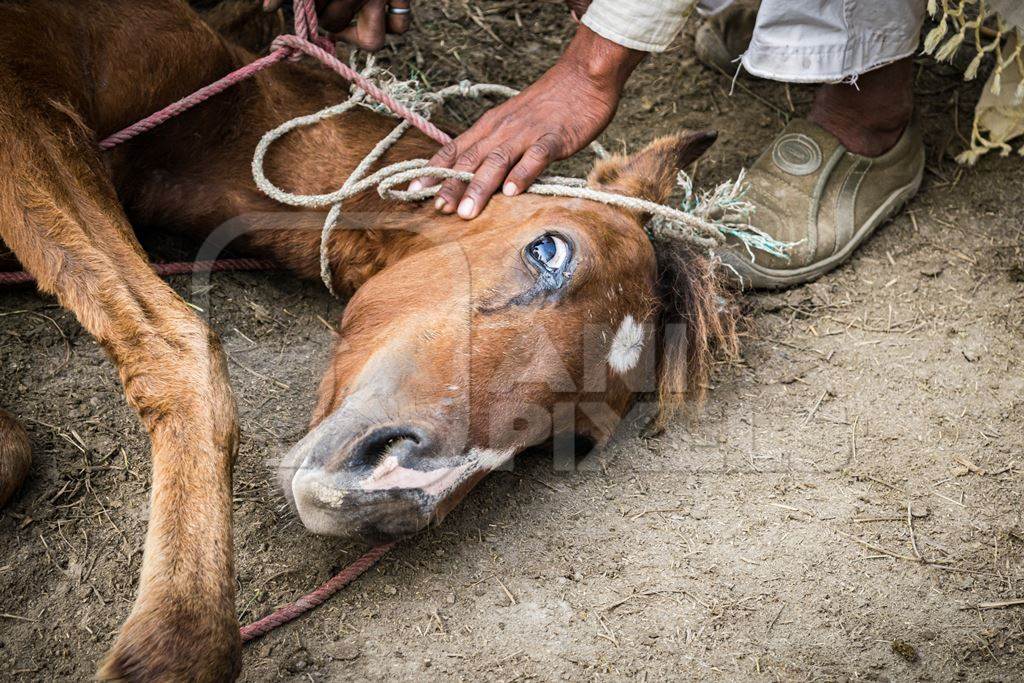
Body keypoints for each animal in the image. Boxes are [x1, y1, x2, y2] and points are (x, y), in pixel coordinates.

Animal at [0, 0, 737, 679]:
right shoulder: (24, 107)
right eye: (549, 249)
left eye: (572, 441)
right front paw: (174, 639)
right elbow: (176, 345)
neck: (215, 126)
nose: (393, 493)